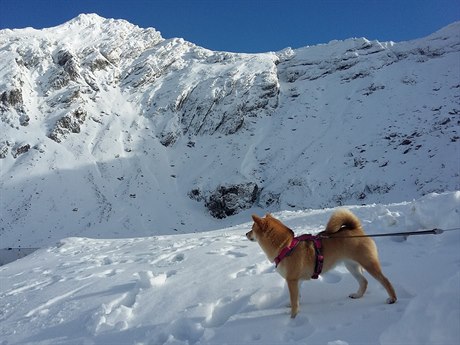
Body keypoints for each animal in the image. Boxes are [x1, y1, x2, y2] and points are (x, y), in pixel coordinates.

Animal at [246, 207, 398, 318]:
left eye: (252, 228)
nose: (246, 234)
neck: (286, 246)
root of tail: (356, 229)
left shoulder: (292, 280)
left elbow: (295, 300)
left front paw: (293, 317)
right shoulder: (296, 281)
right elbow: (296, 298)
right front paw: (293, 307)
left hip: (368, 263)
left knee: (385, 281)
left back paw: (392, 299)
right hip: (351, 265)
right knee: (364, 281)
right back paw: (358, 295)